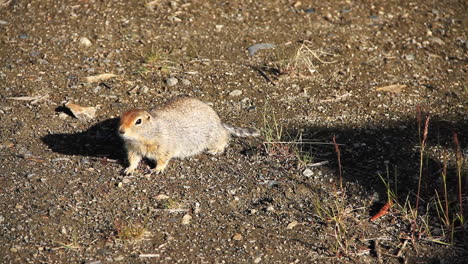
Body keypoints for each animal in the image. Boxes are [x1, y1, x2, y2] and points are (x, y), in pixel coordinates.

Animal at [118, 96, 260, 174]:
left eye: (138, 121)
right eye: (121, 117)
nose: (121, 131)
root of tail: (220, 123)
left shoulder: (165, 146)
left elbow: (163, 159)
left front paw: (157, 169)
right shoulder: (133, 148)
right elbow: (133, 159)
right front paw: (129, 169)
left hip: (213, 136)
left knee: (224, 138)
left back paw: (215, 150)